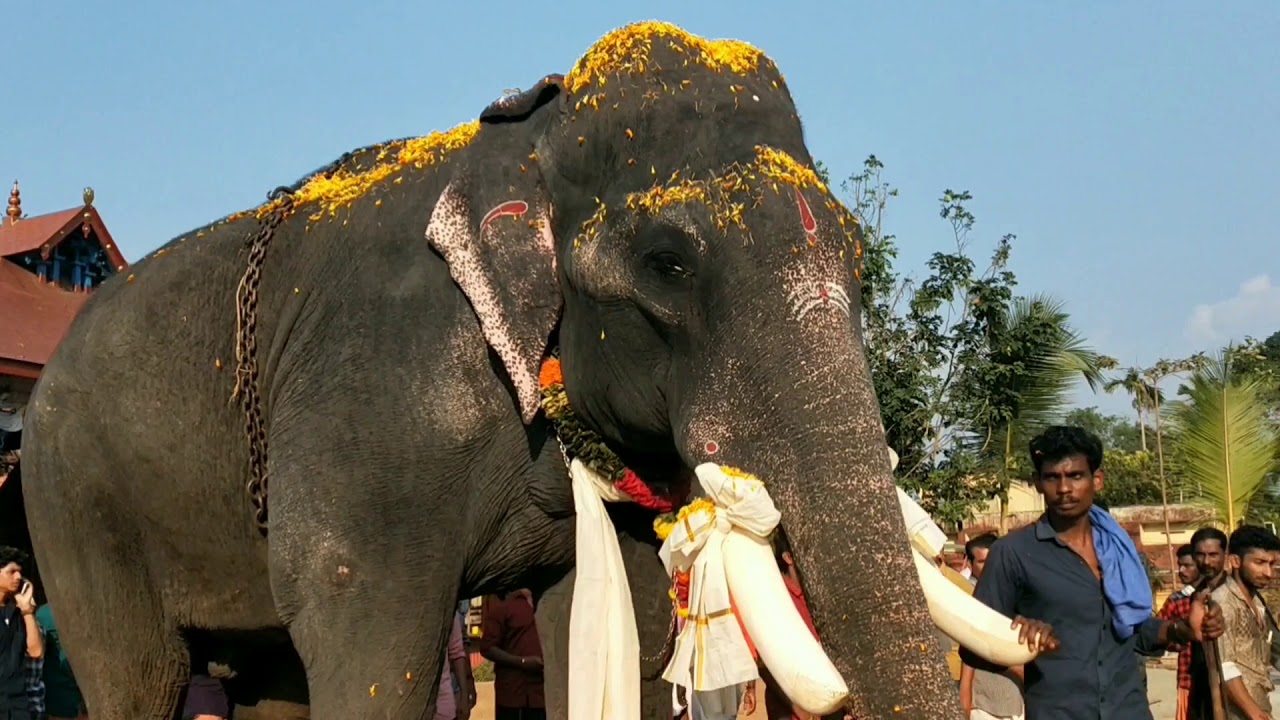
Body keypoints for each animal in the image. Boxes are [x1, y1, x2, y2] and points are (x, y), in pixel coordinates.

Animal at [20, 20, 986, 720]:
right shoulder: (374, 414)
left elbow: (626, 624)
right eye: (668, 264)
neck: (532, 135)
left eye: (859, 260)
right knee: (139, 678)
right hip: (71, 495)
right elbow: (368, 645)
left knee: (270, 681)